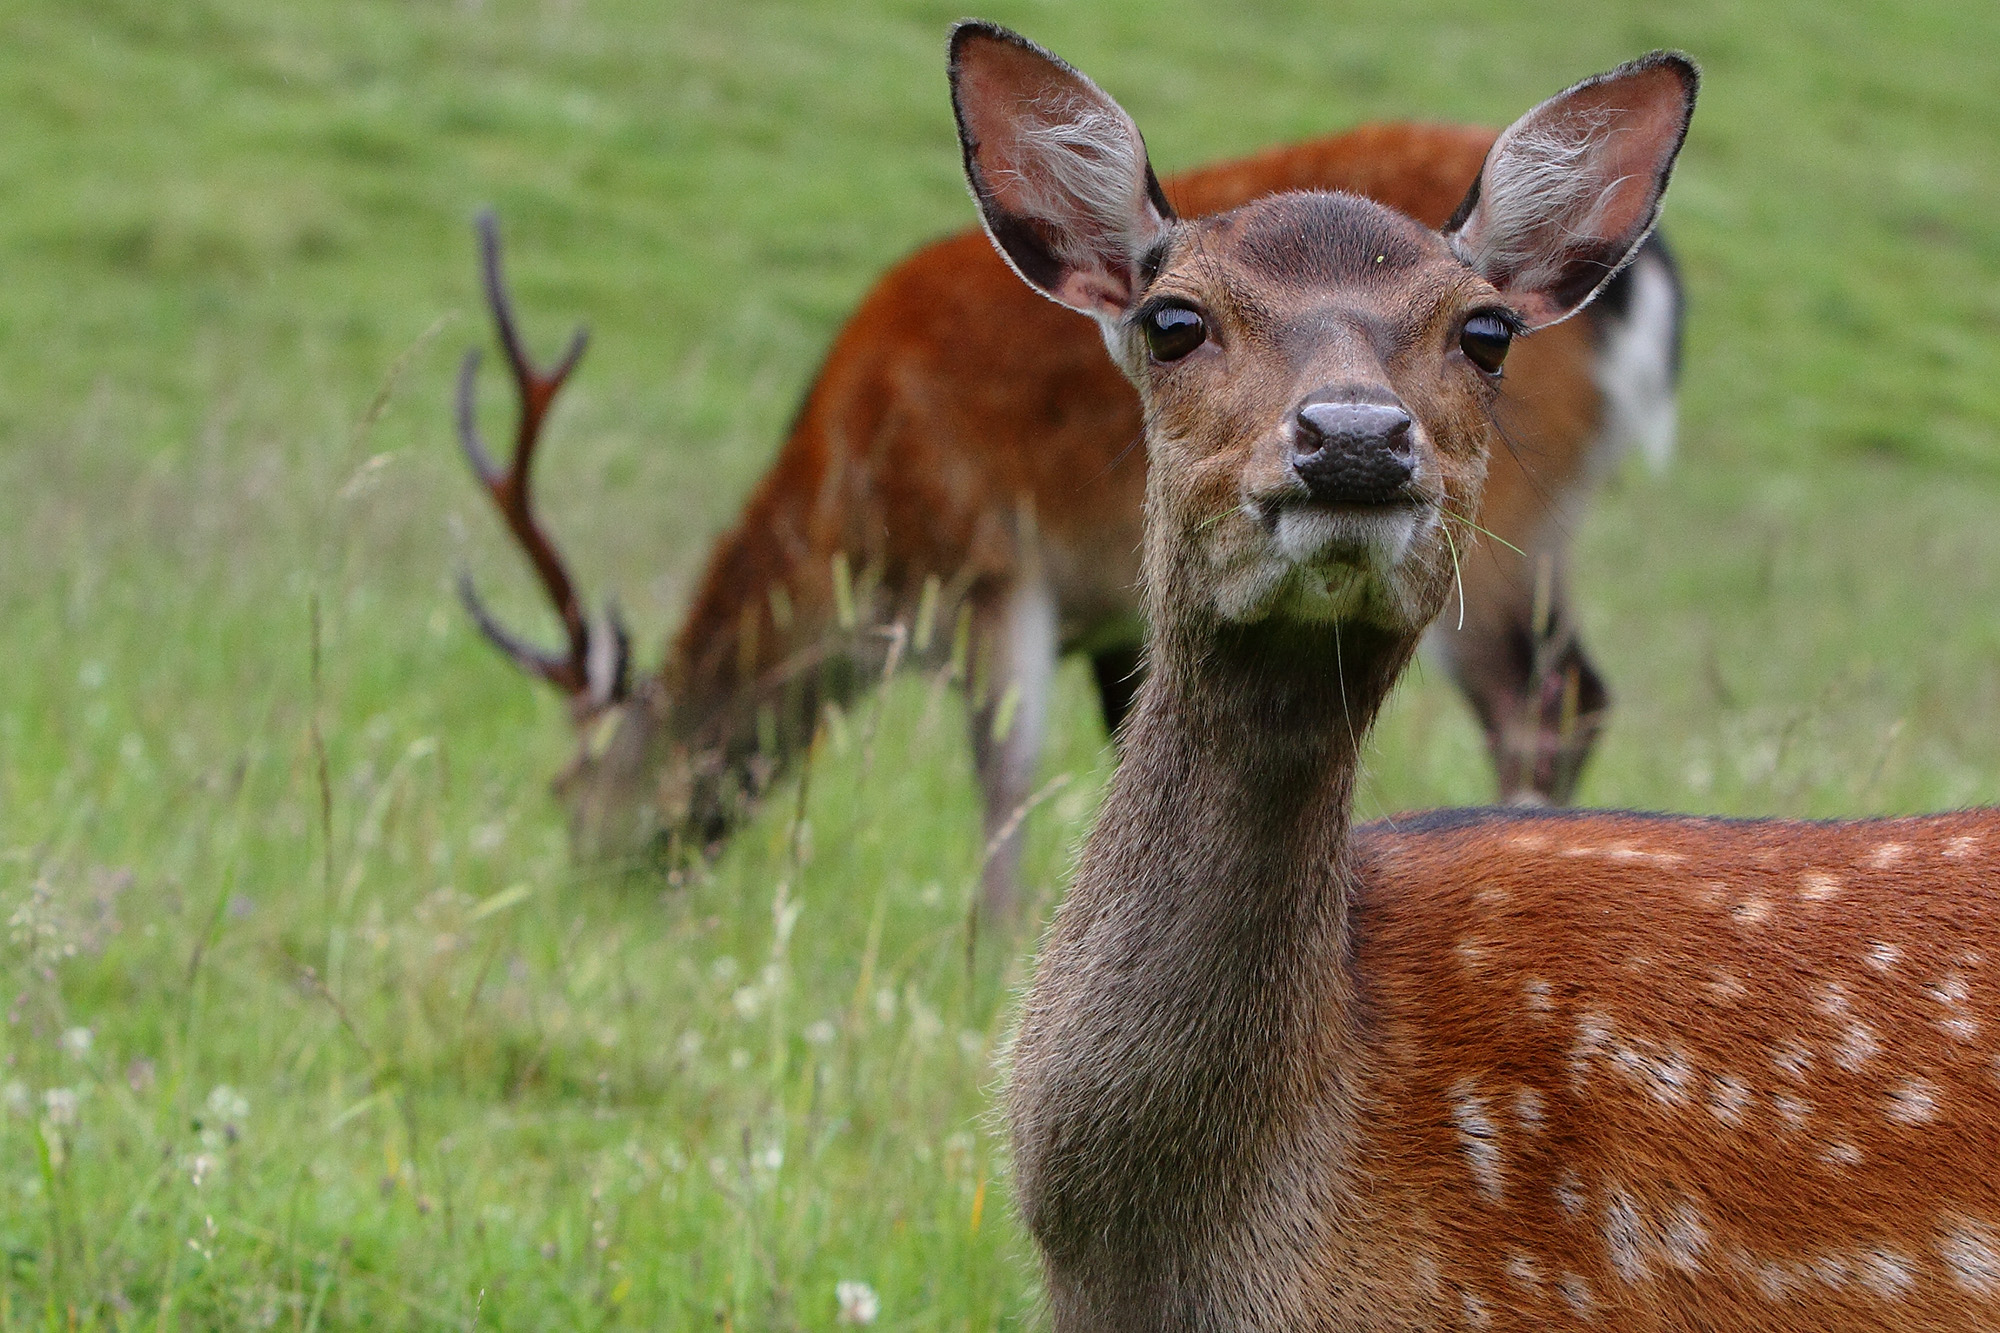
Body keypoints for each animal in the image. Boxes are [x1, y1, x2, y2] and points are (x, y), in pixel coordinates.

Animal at [454, 70, 1688, 924]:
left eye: (569, 789)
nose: (593, 890)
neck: (852, 501)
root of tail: (1651, 290)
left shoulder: (993, 558)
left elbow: (1002, 770)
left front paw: (988, 940)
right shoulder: (1108, 613)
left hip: (1500, 518)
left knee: (1545, 700)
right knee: (1584, 687)